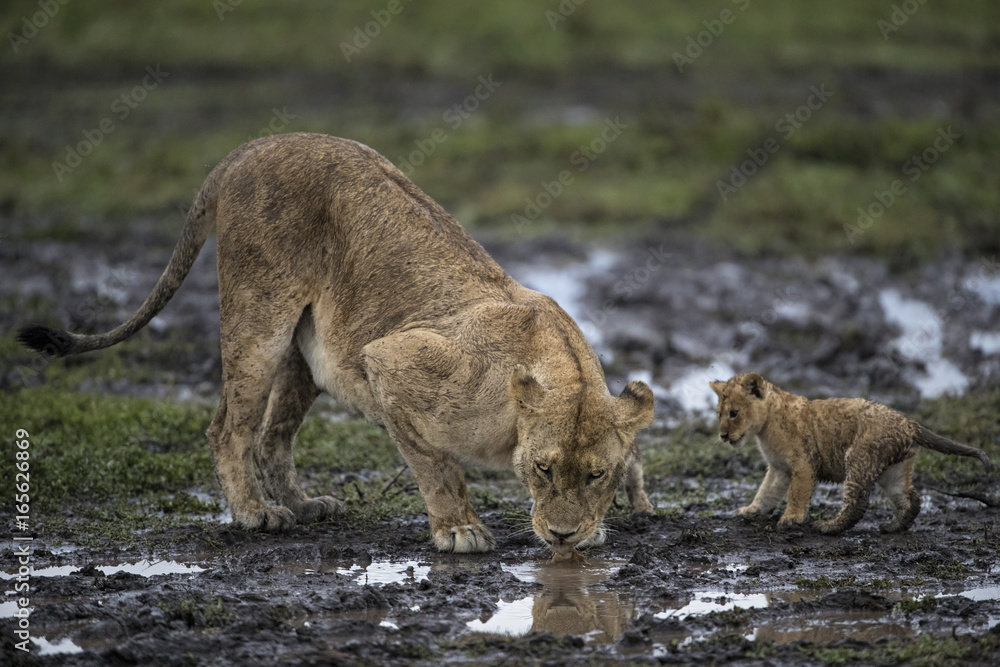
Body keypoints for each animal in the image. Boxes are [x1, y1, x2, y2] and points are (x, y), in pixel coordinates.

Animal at [18, 133, 655, 555]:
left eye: (594, 475)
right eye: (544, 469)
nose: (564, 536)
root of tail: (252, 146)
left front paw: (633, 503)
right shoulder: (390, 361)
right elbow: (437, 465)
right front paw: (459, 529)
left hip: (305, 353)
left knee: (273, 436)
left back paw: (304, 506)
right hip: (259, 315)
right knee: (230, 428)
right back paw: (257, 514)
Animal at [709, 373, 991, 534]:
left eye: (733, 413)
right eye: (719, 413)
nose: (722, 436)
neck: (765, 425)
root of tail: (910, 424)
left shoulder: (804, 463)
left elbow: (797, 494)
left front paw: (791, 519)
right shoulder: (779, 469)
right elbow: (765, 493)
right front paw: (750, 511)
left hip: (860, 456)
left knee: (858, 503)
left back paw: (828, 527)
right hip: (894, 469)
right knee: (911, 498)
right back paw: (894, 527)